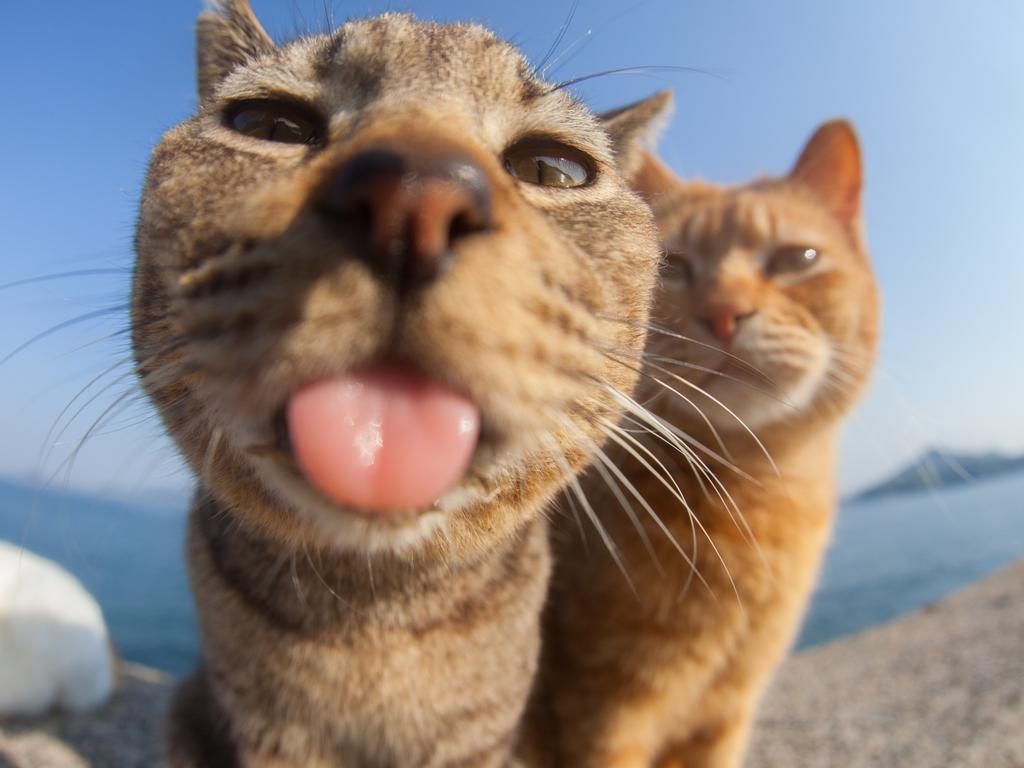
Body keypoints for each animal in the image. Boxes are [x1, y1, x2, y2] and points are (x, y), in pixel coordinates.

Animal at [128, 3, 667, 765]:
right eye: (270, 124)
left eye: (553, 168)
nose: (416, 194)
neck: (373, 618)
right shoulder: (265, 732)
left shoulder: (482, 737)